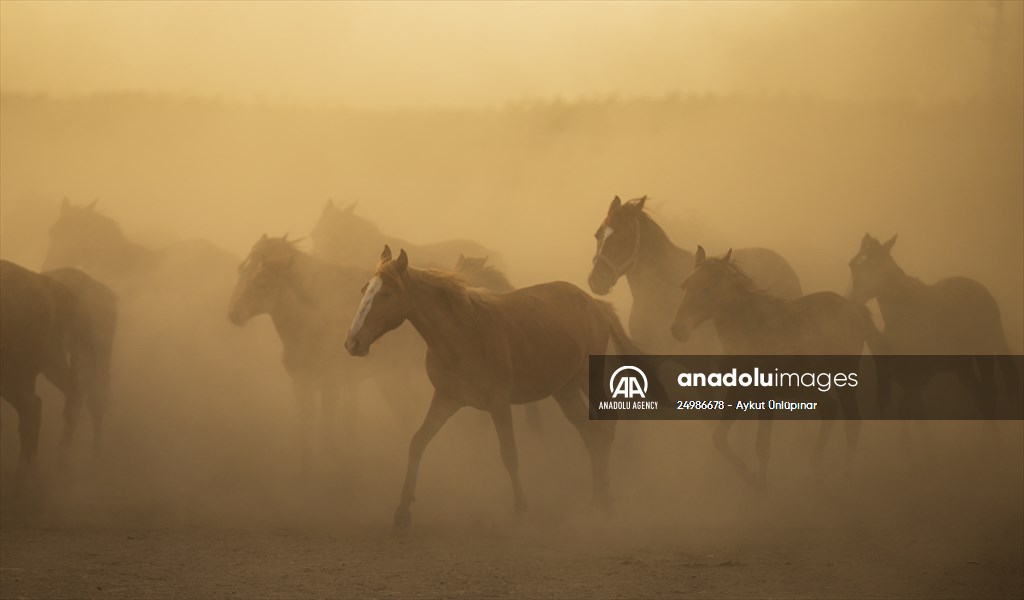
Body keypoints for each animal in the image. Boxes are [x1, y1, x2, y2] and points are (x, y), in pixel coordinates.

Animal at [228, 235, 426, 471]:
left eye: (263, 284)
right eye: (246, 273)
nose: (234, 313)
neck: (307, 331)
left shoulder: (331, 385)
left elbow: (326, 433)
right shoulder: (303, 386)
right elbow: (308, 433)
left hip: (392, 376)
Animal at [345, 246, 639, 530]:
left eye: (387, 293)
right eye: (364, 289)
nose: (352, 343)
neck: (462, 335)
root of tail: (595, 304)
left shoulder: (499, 403)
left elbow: (509, 454)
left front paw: (520, 511)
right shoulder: (446, 398)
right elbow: (418, 442)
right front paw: (402, 511)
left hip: (586, 376)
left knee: (604, 430)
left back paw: (606, 501)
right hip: (563, 388)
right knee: (589, 433)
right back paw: (596, 499)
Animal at [670, 247, 876, 487]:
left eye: (707, 288)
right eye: (684, 285)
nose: (678, 330)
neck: (749, 329)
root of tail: (854, 310)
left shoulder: (765, 395)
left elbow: (762, 445)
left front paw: (761, 485)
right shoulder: (738, 391)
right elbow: (719, 438)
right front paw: (750, 477)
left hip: (844, 380)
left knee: (852, 424)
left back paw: (846, 477)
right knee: (829, 409)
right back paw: (814, 468)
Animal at [848, 234, 1019, 419]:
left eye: (873, 265)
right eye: (852, 264)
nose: (852, 299)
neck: (904, 318)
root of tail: (982, 290)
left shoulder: (917, 383)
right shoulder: (907, 383)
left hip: (985, 351)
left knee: (990, 393)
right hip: (963, 366)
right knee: (980, 396)